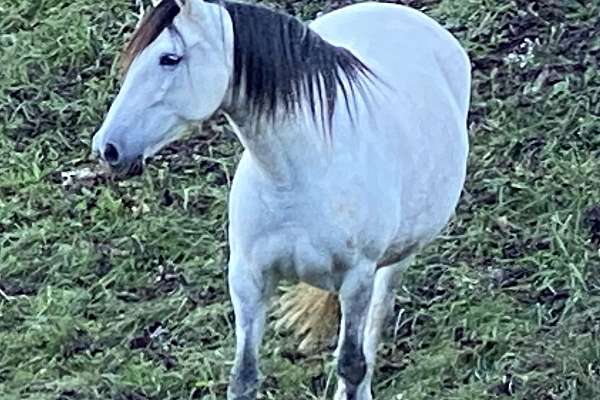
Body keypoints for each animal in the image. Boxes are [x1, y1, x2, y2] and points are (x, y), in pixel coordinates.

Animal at [91, 1, 472, 398]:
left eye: (169, 58)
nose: (107, 148)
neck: (295, 176)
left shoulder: (357, 278)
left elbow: (351, 364)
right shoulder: (248, 279)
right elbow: (244, 377)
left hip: (394, 261)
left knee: (375, 322)